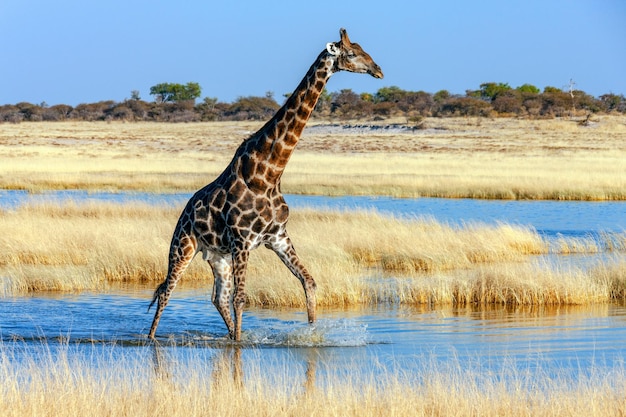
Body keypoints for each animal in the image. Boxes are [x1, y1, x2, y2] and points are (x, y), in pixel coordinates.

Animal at [147, 28, 380, 342]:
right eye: (352, 53)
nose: (378, 70)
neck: (268, 175)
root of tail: (184, 212)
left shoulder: (277, 237)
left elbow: (309, 282)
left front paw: (312, 333)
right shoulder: (242, 240)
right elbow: (241, 299)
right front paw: (240, 344)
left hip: (218, 256)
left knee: (218, 297)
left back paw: (228, 335)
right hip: (183, 245)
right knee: (167, 292)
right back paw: (149, 339)